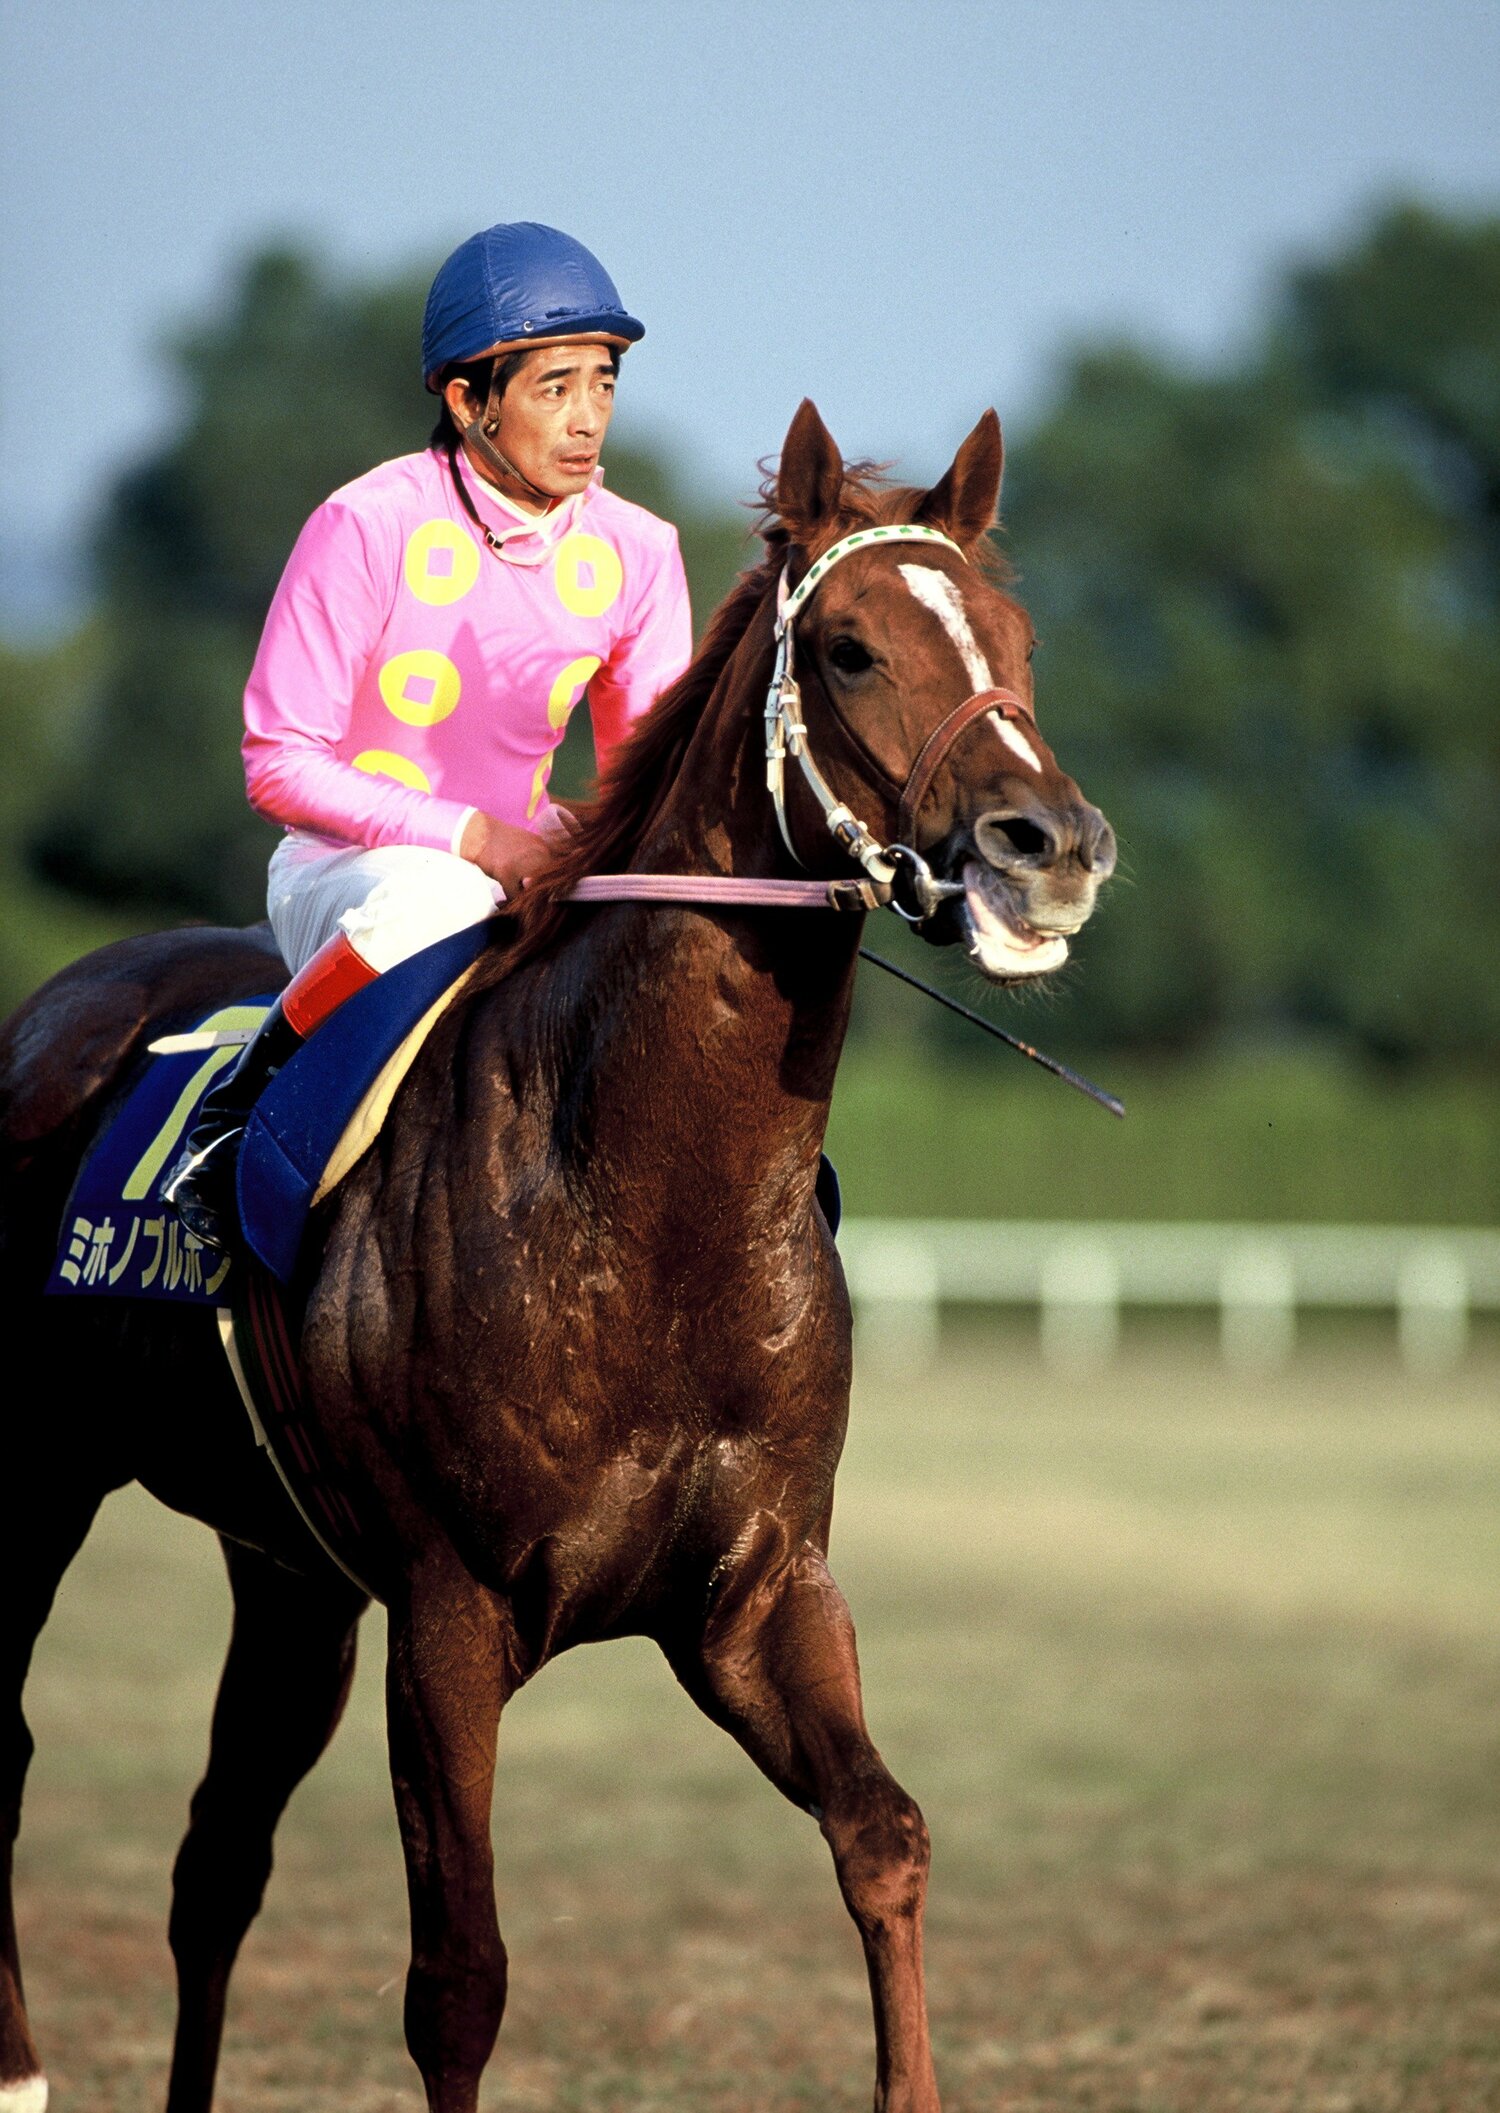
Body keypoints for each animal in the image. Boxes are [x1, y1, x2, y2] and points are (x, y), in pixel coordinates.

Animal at [0, 399, 1116, 2113]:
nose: (1048, 847)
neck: (646, 1210)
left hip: (285, 1573)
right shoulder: (448, 1616)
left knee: (216, 1858)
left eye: (1022, 634)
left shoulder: (756, 1593)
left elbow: (887, 1836)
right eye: (850, 647)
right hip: (37, 1478)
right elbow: (461, 1978)